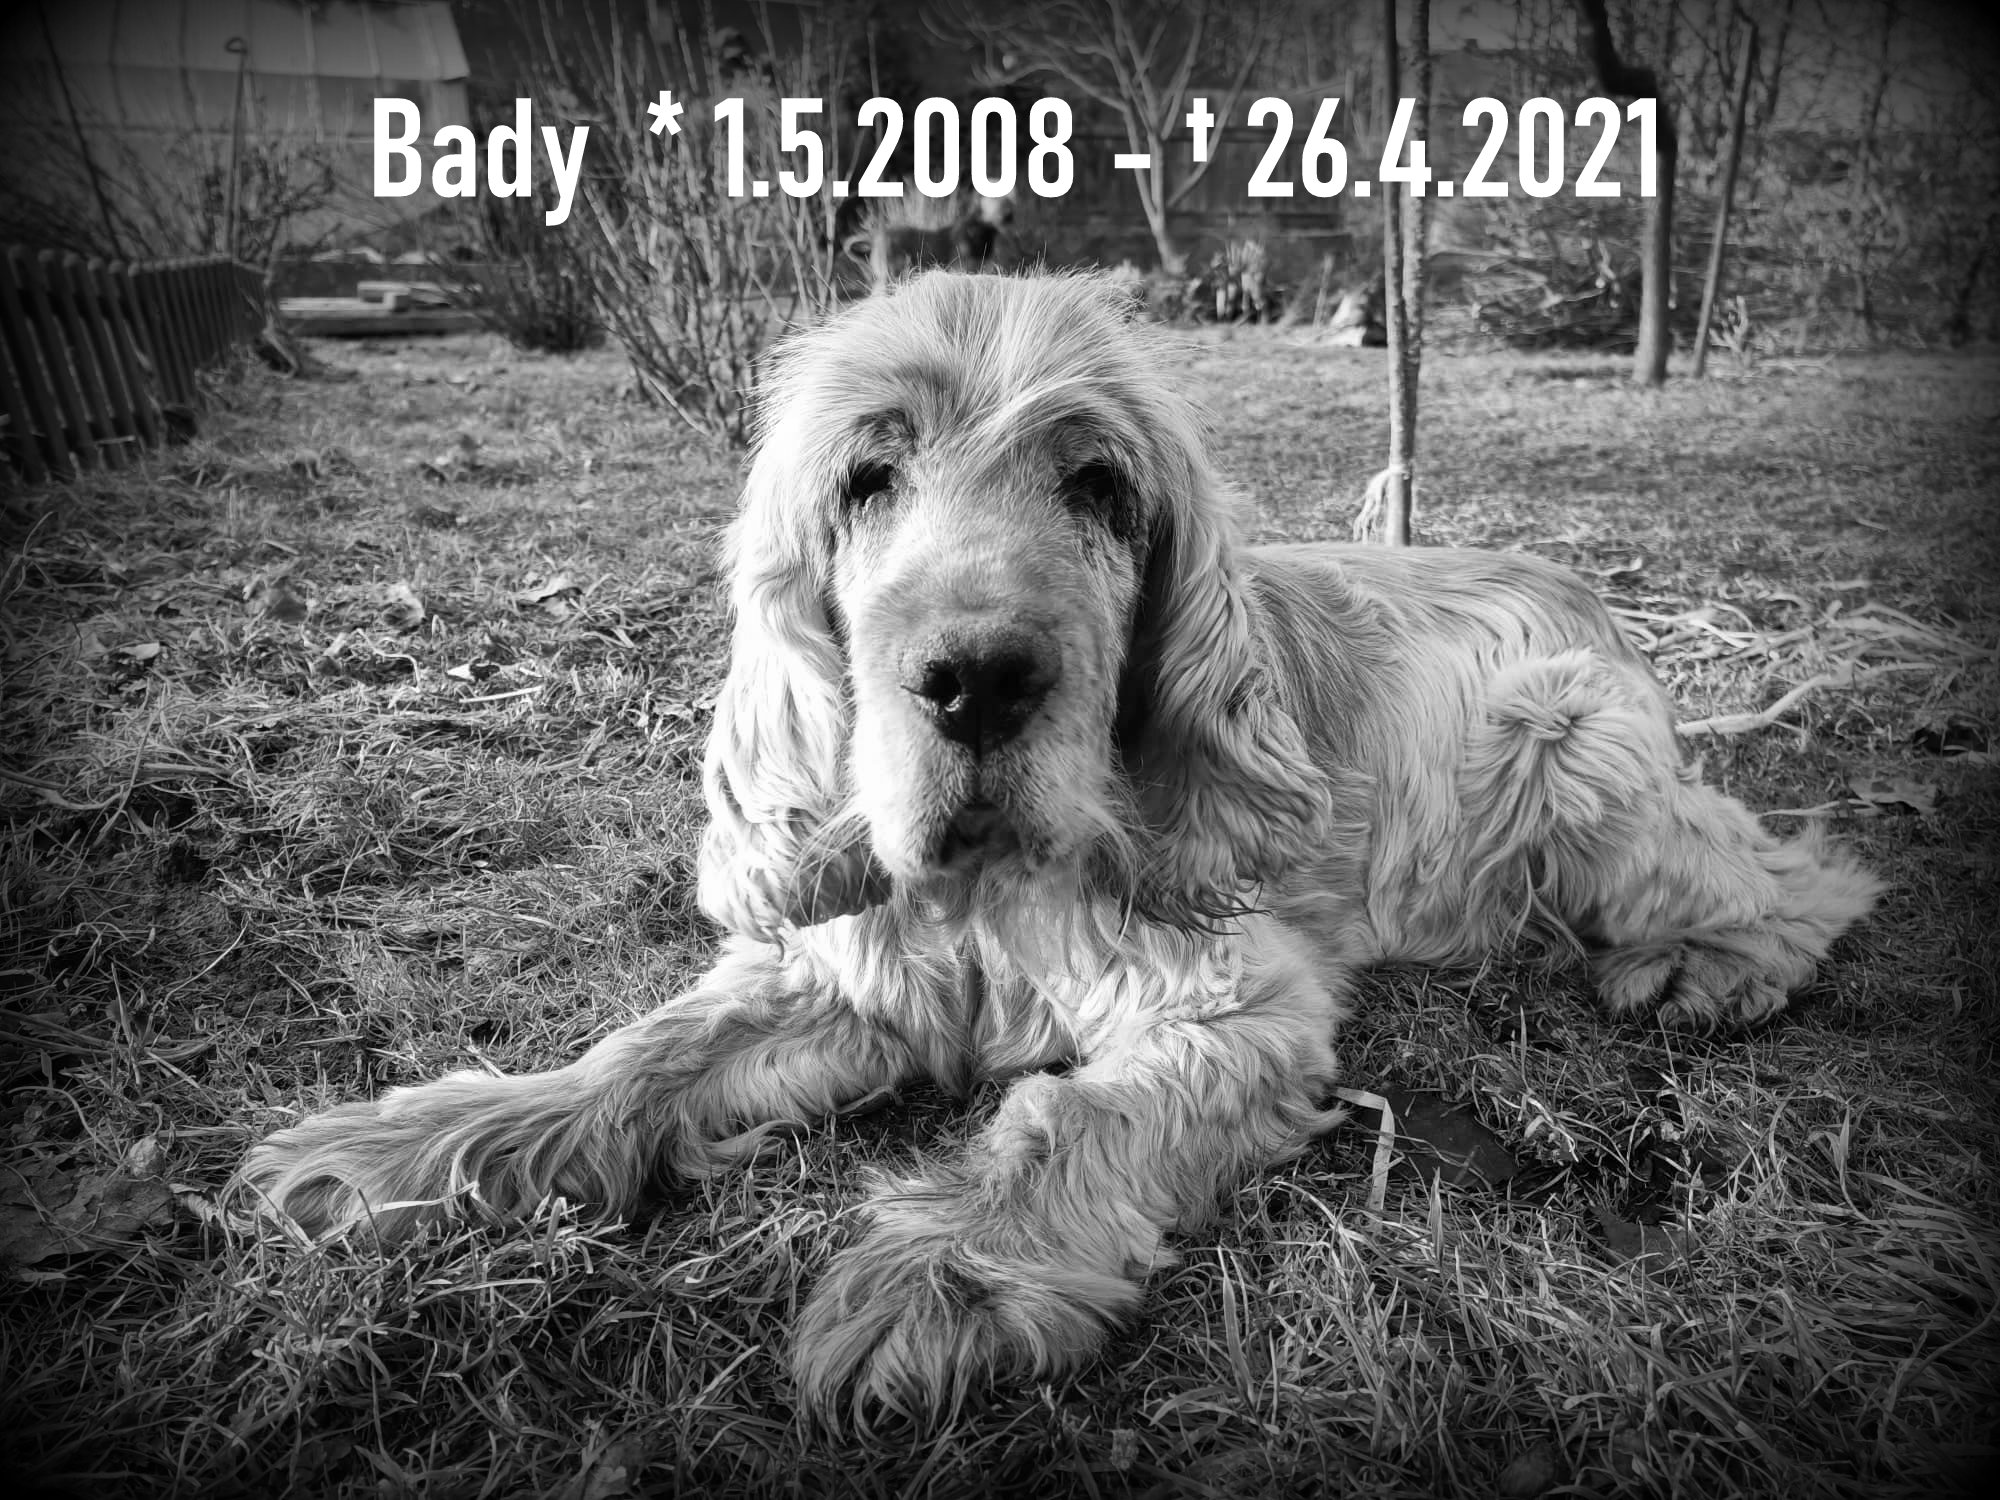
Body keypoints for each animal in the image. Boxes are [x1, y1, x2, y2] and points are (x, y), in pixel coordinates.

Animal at [241, 272, 1879, 1427]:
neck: (987, 895)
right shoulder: (847, 980)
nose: (975, 680)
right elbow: (637, 1055)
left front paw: (935, 1276)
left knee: (1799, 871)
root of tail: (1582, 587)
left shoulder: (1237, 1006)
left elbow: (1062, 1120)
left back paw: (1707, 967)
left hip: (1574, 743)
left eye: (1095, 486)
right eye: (866, 479)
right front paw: (411, 1147)